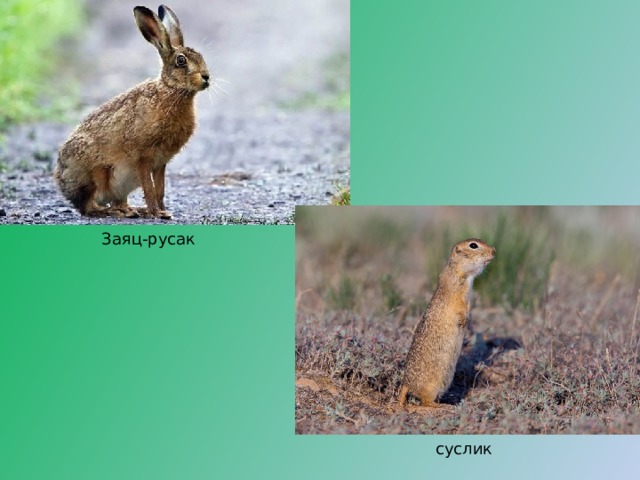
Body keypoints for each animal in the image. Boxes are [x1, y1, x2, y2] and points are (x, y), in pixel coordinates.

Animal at [55, 5, 210, 219]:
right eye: (181, 61)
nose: (206, 77)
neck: (170, 91)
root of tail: (62, 182)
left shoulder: (161, 162)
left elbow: (160, 189)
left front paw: (164, 212)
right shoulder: (142, 157)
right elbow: (149, 188)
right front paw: (157, 213)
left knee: (116, 201)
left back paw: (132, 210)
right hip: (94, 174)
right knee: (89, 207)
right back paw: (117, 212)